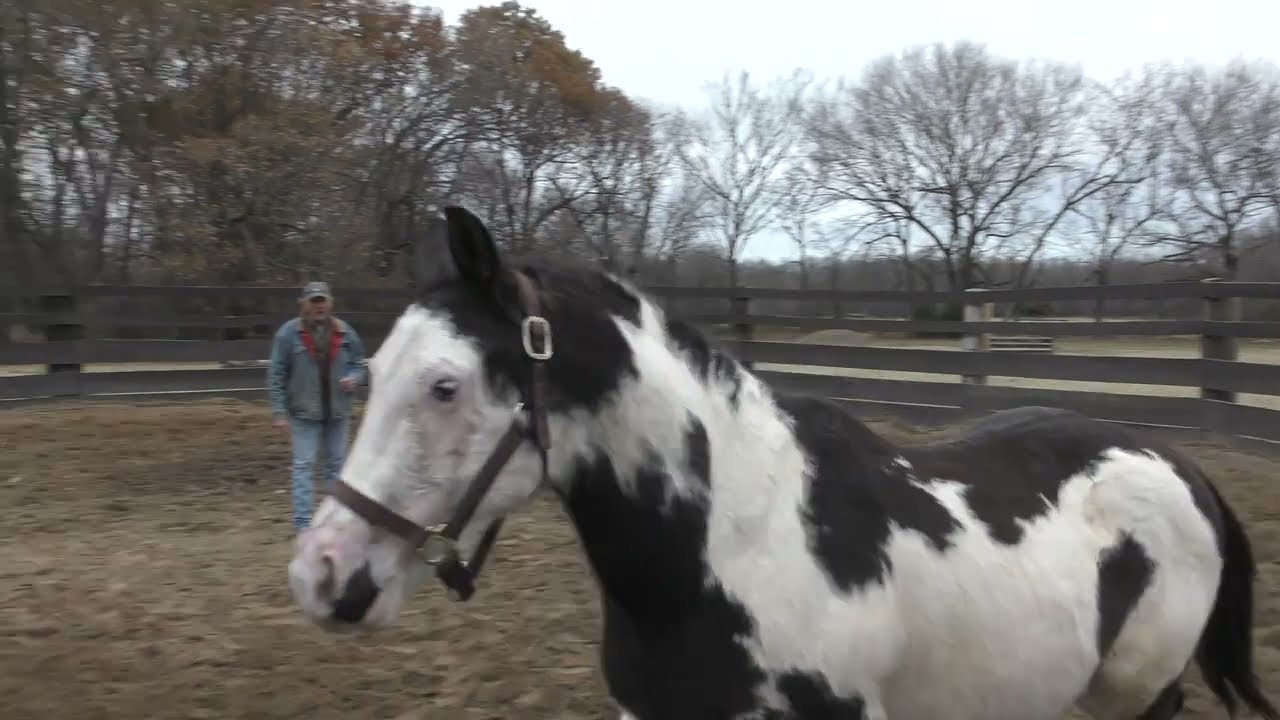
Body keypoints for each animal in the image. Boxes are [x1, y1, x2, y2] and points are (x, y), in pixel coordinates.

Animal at [287, 205, 1278, 720]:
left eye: (444, 386)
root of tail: (1176, 463)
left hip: (1138, 697)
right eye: (370, 368)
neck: (735, 554)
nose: (321, 572)